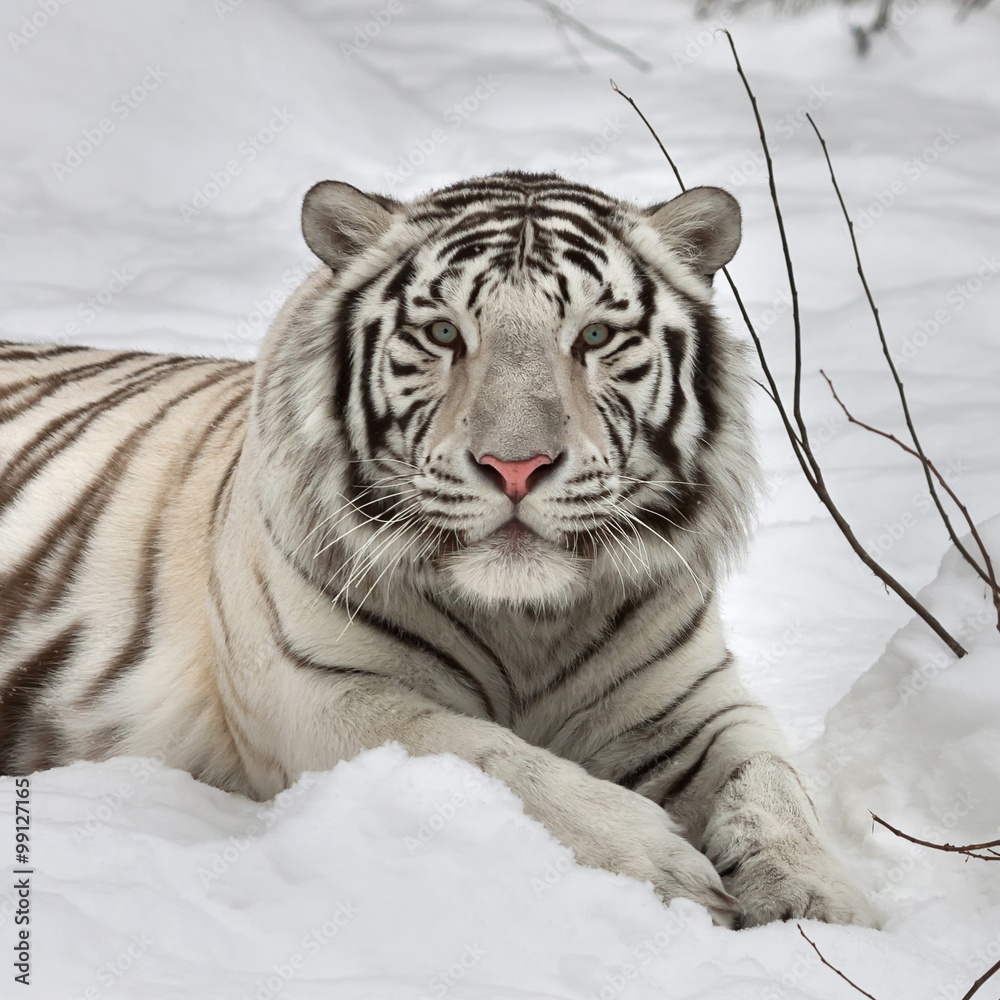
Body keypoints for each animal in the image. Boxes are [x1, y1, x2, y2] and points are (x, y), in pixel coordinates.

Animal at [0, 170, 878, 929]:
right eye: (444, 333)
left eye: (594, 334)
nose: (516, 465)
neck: (526, 621)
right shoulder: (315, 694)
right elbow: (489, 756)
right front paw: (663, 866)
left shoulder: (691, 704)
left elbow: (768, 782)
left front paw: (819, 903)